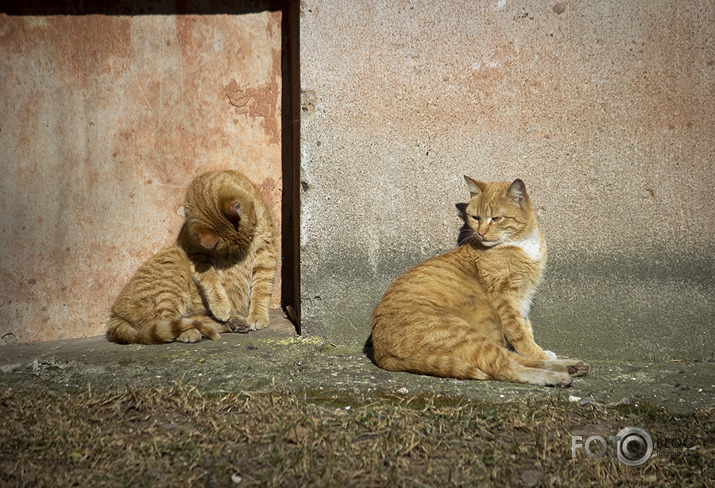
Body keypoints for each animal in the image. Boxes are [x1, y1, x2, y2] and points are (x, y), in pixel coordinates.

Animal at [372, 177, 592, 386]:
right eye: (475, 217)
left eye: (496, 218)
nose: (481, 232)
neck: (520, 244)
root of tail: (381, 354)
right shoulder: (505, 298)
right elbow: (519, 334)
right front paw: (536, 352)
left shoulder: (524, 297)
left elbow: (525, 330)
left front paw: (540, 353)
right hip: (464, 336)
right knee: (507, 368)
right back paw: (557, 375)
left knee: (512, 359)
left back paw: (570, 365)